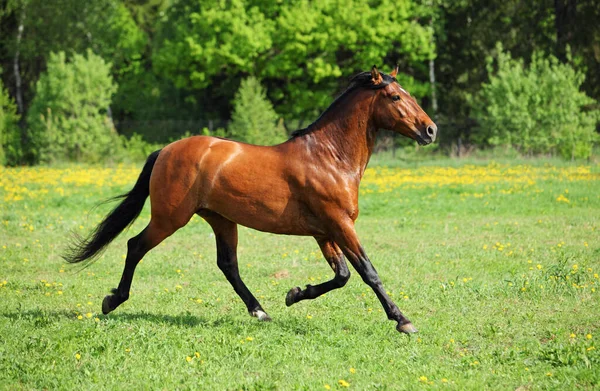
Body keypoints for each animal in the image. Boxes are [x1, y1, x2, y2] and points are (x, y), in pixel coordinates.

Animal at [65, 66, 438, 336]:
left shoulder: (325, 231)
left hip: (221, 220)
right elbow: (368, 272)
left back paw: (260, 311)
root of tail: (166, 150)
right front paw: (404, 321)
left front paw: (293, 294)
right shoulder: (339, 224)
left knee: (227, 264)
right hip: (170, 218)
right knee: (135, 246)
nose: (430, 130)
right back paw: (113, 300)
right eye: (394, 96)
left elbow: (343, 275)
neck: (329, 158)